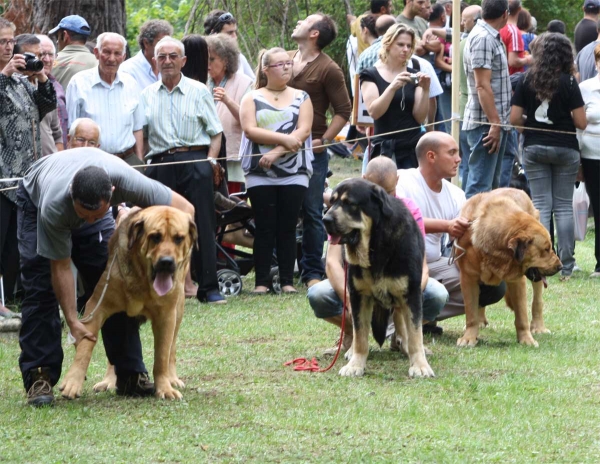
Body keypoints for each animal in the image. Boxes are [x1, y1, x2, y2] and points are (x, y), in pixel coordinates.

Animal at [322, 178, 434, 376]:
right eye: (332, 201)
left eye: (350, 203)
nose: (325, 219)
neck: (376, 246)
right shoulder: (357, 295)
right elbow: (360, 334)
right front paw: (356, 365)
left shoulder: (412, 294)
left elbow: (415, 333)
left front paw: (420, 365)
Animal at [454, 187, 564, 346]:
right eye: (546, 249)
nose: (560, 266)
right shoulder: (468, 278)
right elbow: (471, 313)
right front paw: (469, 337)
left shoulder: (517, 280)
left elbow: (522, 316)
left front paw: (526, 339)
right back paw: (481, 321)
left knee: (537, 301)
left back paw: (538, 327)